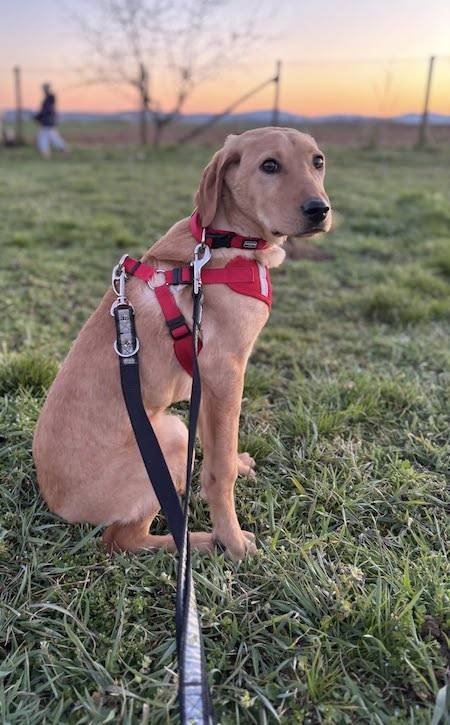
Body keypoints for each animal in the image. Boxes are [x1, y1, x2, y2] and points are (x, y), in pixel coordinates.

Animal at [33, 127, 331, 560]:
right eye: (269, 165)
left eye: (318, 161)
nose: (319, 210)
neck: (225, 242)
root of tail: (55, 501)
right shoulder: (226, 373)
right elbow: (219, 472)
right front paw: (232, 540)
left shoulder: (208, 384)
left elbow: (217, 448)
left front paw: (237, 464)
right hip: (169, 437)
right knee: (122, 540)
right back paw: (201, 541)